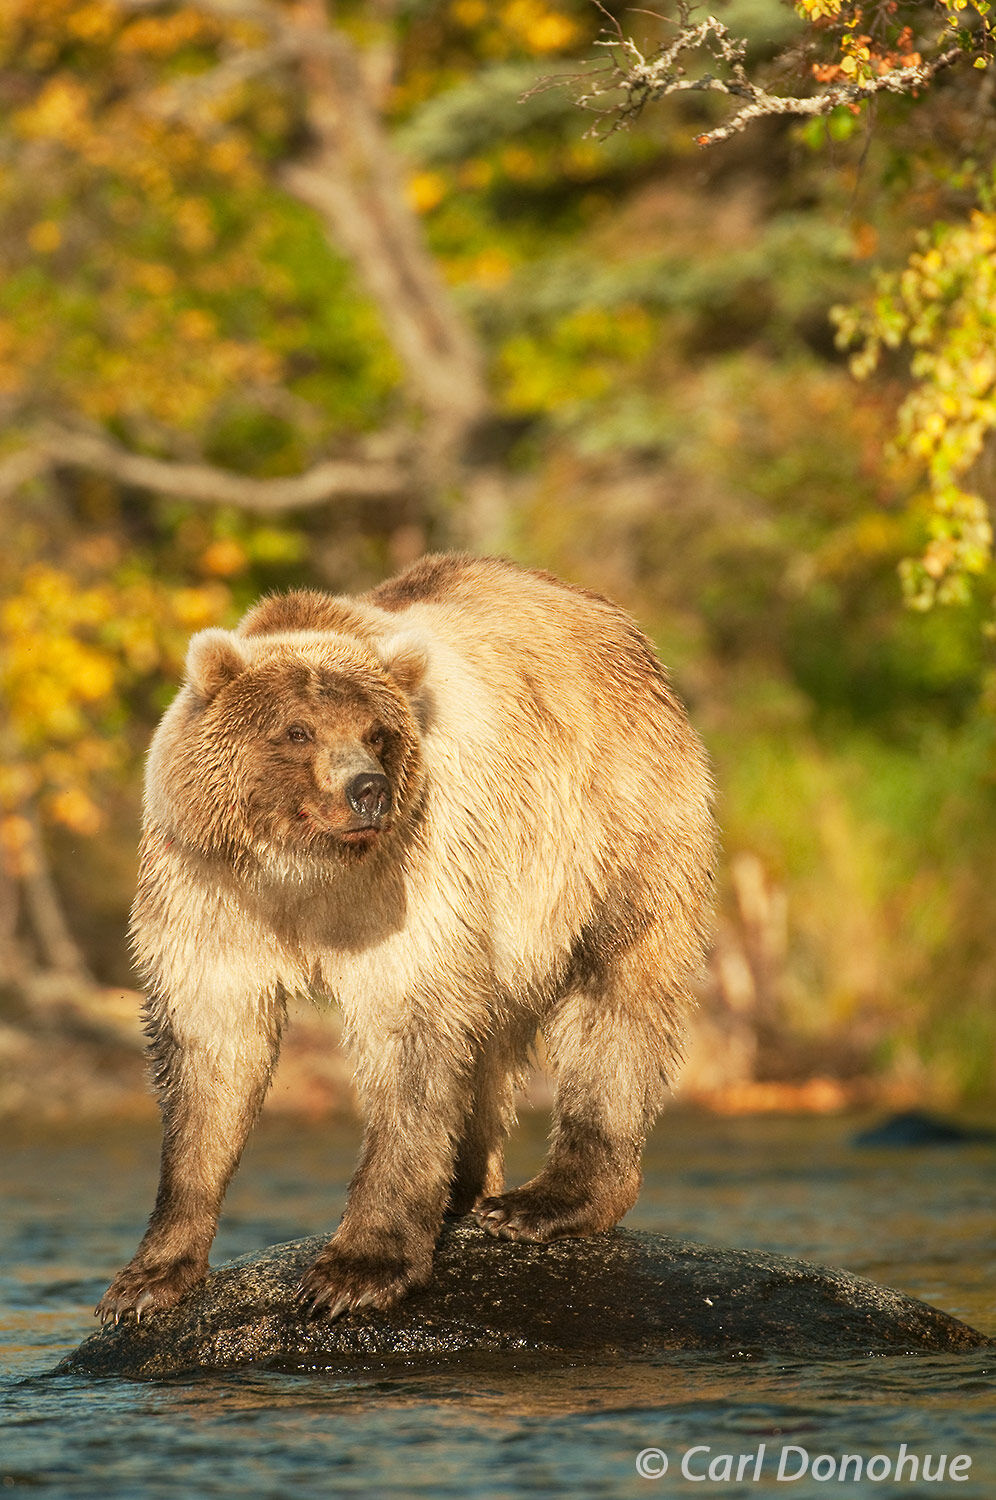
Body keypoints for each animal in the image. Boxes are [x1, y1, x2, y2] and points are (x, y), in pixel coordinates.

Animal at [96, 553, 715, 1324]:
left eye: (376, 733)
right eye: (297, 730)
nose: (368, 789)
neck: (303, 871)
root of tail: (614, 623)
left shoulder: (411, 880)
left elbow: (409, 1034)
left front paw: (355, 1272)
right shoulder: (210, 891)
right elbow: (212, 1047)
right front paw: (147, 1280)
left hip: (608, 829)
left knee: (615, 1000)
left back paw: (543, 1202)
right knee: (492, 1034)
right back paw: (466, 1191)